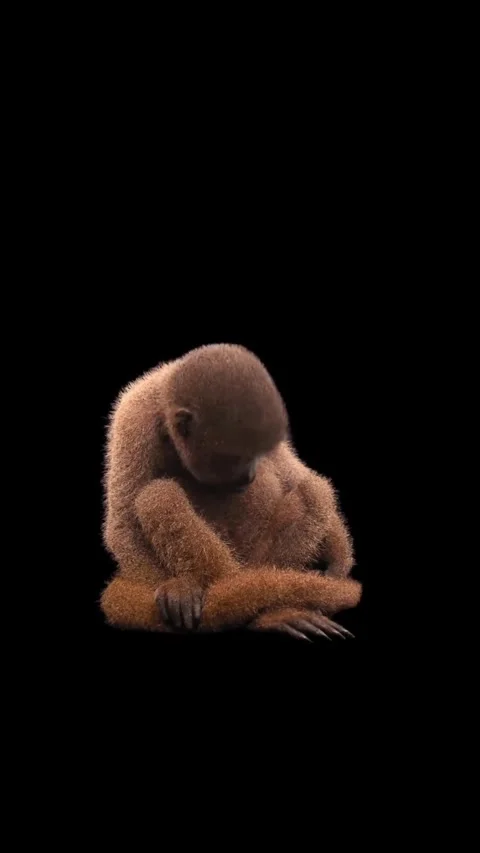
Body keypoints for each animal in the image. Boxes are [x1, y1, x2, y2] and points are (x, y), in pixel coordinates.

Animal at [101, 344, 361, 641]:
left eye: (257, 454)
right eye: (235, 458)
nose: (250, 475)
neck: (165, 399)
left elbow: (298, 476)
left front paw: (339, 555)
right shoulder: (134, 419)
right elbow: (123, 524)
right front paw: (178, 587)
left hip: (259, 557)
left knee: (312, 491)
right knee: (158, 497)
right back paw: (238, 600)